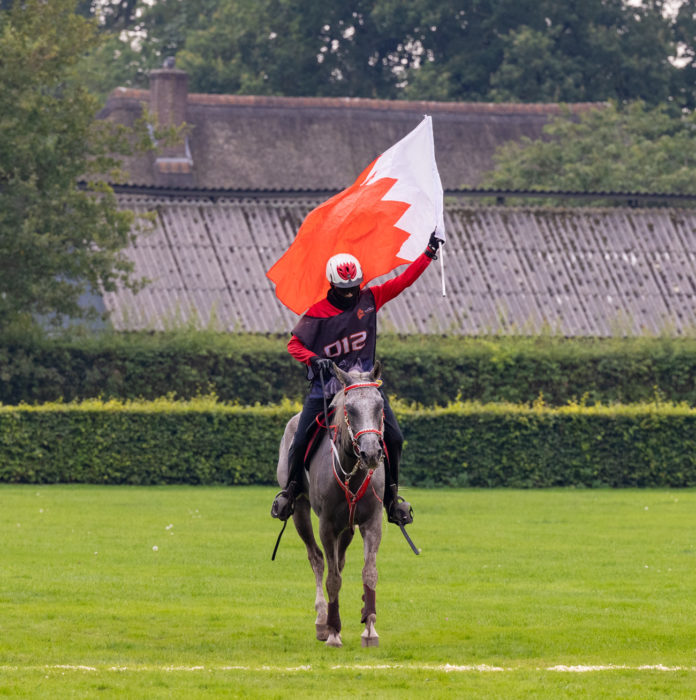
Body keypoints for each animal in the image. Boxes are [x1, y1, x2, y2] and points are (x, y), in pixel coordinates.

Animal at [276, 364, 386, 648]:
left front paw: (370, 629)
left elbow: (369, 573)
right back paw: (322, 621)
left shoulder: (371, 523)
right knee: (317, 559)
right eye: (351, 409)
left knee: (340, 560)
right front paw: (334, 632)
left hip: (347, 527)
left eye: (379, 405)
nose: (371, 453)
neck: (351, 473)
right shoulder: (326, 526)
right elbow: (332, 578)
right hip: (301, 512)